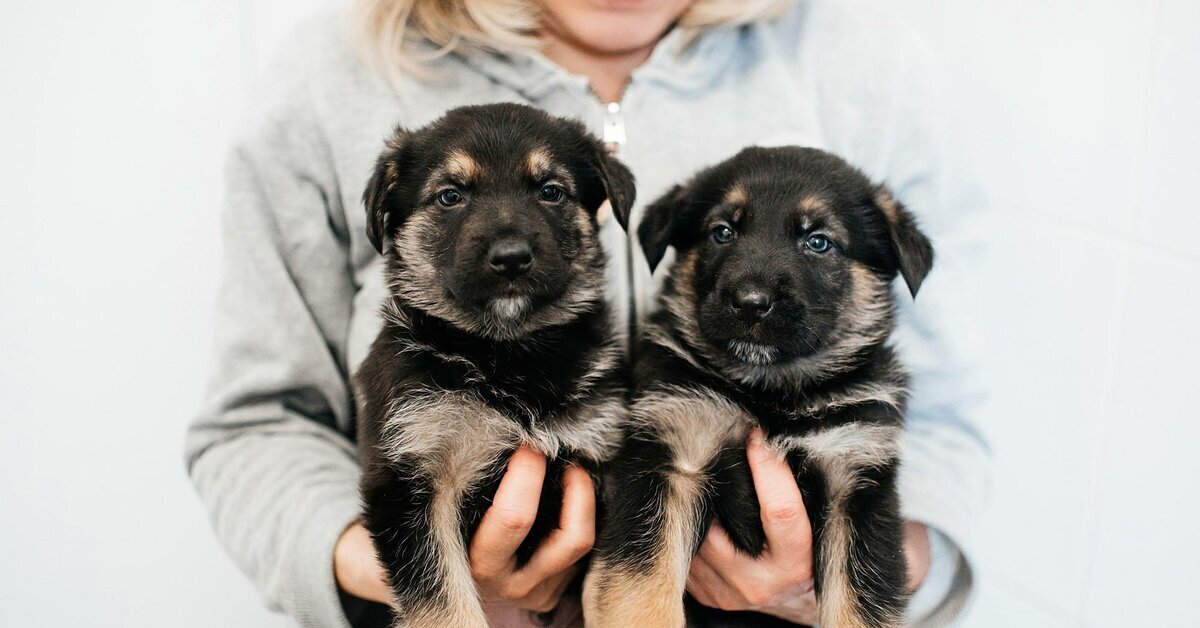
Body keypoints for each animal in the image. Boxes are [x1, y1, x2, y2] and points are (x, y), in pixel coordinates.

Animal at [352, 103, 636, 628]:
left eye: (551, 191)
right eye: (450, 196)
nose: (511, 258)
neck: (508, 355)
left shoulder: (602, 454)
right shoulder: (410, 480)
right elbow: (443, 603)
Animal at [583, 146, 934, 628]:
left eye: (818, 241)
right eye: (722, 232)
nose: (751, 303)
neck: (771, 392)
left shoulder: (856, 481)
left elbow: (860, 607)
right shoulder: (674, 457)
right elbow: (641, 587)